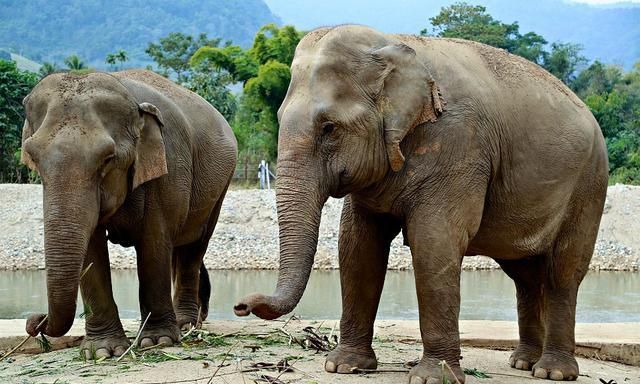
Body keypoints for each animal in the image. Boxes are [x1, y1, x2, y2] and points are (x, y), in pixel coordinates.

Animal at [22, 68, 239, 356]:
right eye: (33, 158)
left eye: (107, 159)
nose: (35, 321)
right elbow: (92, 251)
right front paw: (101, 352)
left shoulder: (168, 165)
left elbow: (153, 243)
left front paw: (156, 342)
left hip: (220, 186)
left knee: (194, 247)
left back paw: (186, 325)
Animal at [236, 25, 608, 382]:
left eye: (329, 127)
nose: (241, 305)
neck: (392, 42)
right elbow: (357, 245)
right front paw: (345, 367)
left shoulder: (459, 145)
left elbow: (433, 242)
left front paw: (433, 377)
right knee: (525, 274)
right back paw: (522, 363)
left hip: (589, 185)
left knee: (563, 271)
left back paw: (553, 372)